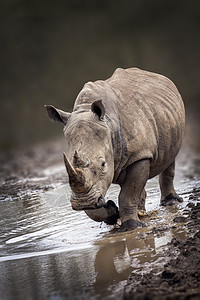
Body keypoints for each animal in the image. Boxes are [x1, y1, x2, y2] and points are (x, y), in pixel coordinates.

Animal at [45, 68, 184, 231]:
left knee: (170, 157)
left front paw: (132, 226)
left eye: (103, 164)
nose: (82, 202)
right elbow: (94, 205)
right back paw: (141, 212)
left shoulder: (140, 155)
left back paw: (170, 203)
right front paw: (112, 212)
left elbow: (127, 195)